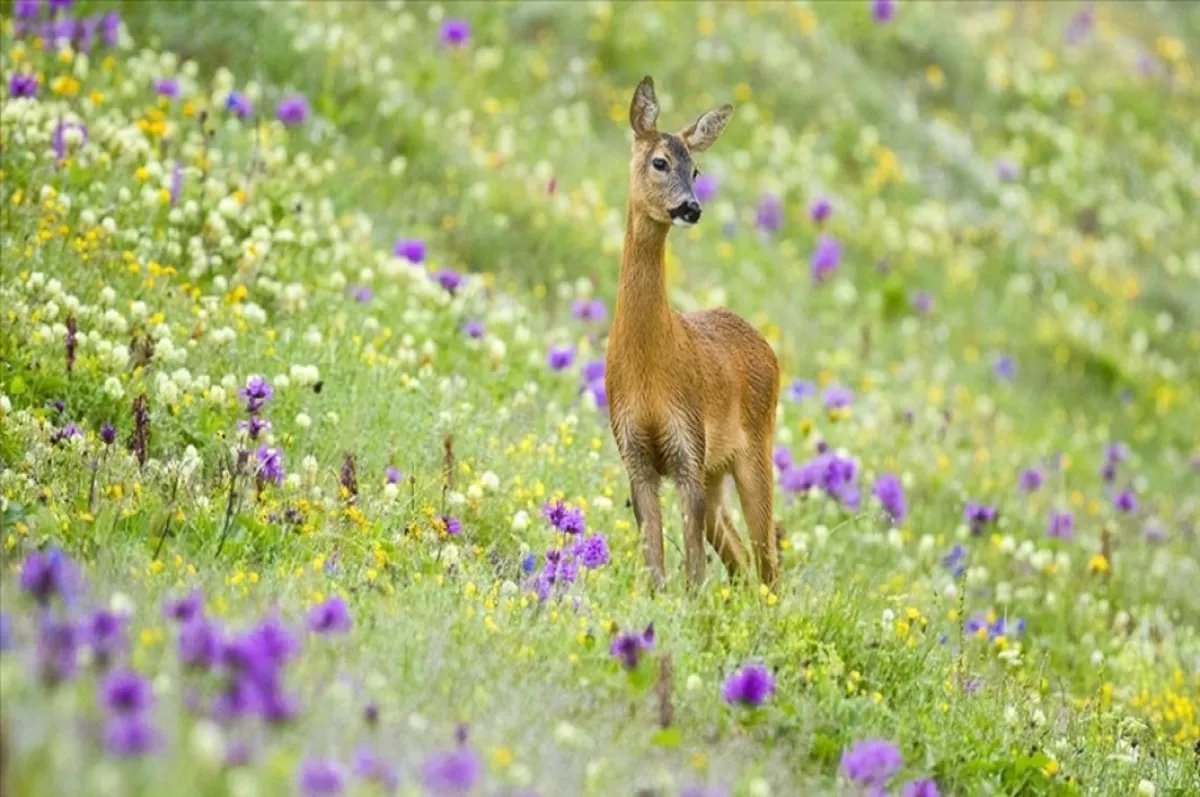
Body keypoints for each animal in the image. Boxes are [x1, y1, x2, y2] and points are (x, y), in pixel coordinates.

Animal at [604, 76, 782, 590]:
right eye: (660, 161)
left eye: (697, 169)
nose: (691, 207)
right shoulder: (634, 452)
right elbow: (657, 567)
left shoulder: (688, 446)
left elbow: (695, 576)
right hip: (716, 473)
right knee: (740, 555)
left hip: (754, 450)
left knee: (768, 563)